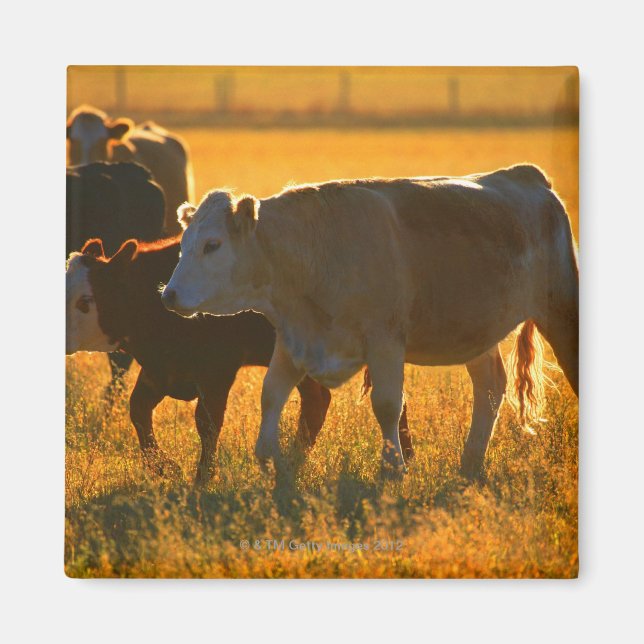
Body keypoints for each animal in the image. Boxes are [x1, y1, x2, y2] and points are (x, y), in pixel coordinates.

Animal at [66, 236, 414, 486]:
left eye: (86, 300)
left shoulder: (217, 370)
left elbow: (207, 422)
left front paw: (203, 477)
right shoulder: (160, 369)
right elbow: (138, 410)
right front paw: (163, 467)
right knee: (326, 400)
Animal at [161, 164, 579, 481]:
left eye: (212, 245)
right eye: (183, 244)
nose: (169, 295)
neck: (317, 248)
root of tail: (527, 176)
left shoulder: (385, 342)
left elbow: (388, 405)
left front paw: (392, 468)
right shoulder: (294, 340)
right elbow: (271, 394)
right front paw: (269, 459)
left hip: (561, 308)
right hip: (477, 332)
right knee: (490, 387)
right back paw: (471, 464)